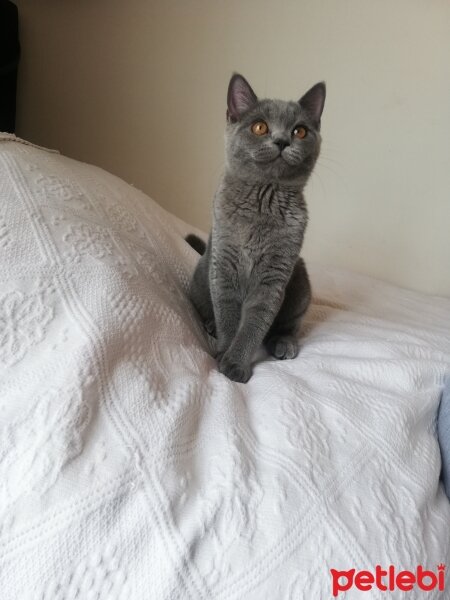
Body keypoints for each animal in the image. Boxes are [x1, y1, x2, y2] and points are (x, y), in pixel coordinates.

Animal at [185, 72, 326, 382]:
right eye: (260, 127)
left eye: (300, 131)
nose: (282, 141)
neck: (263, 201)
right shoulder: (224, 266)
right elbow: (227, 315)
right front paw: (223, 354)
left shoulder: (273, 277)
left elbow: (255, 323)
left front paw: (235, 364)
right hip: (202, 271)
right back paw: (210, 325)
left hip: (300, 280)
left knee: (287, 325)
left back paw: (283, 343)